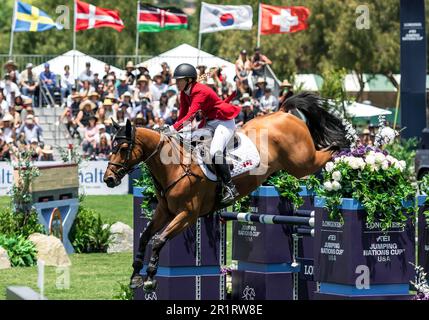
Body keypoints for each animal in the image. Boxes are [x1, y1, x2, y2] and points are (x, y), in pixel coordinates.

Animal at [103, 91, 348, 292]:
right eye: (110, 147)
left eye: (122, 148)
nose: (109, 179)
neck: (174, 166)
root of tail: (283, 113)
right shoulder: (165, 211)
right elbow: (145, 237)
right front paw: (136, 276)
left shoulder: (187, 214)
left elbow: (158, 240)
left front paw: (150, 279)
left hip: (302, 162)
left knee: (329, 150)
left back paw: (344, 155)